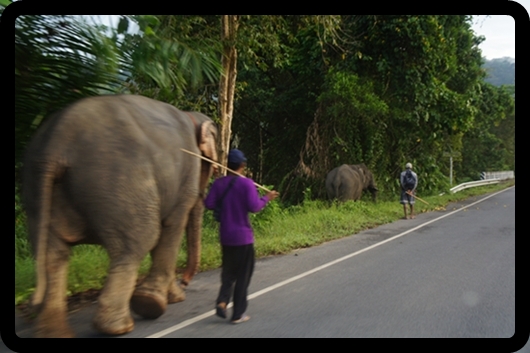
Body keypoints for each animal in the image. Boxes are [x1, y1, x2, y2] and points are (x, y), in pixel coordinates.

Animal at [21, 93, 217, 336]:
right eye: (211, 166)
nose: (185, 282)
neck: (191, 116)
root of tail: (55, 146)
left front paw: (173, 297)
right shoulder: (187, 172)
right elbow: (172, 226)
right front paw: (162, 299)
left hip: (38, 191)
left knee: (53, 254)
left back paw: (54, 333)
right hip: (119, 182)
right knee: (139, 240)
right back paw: (121, 324)